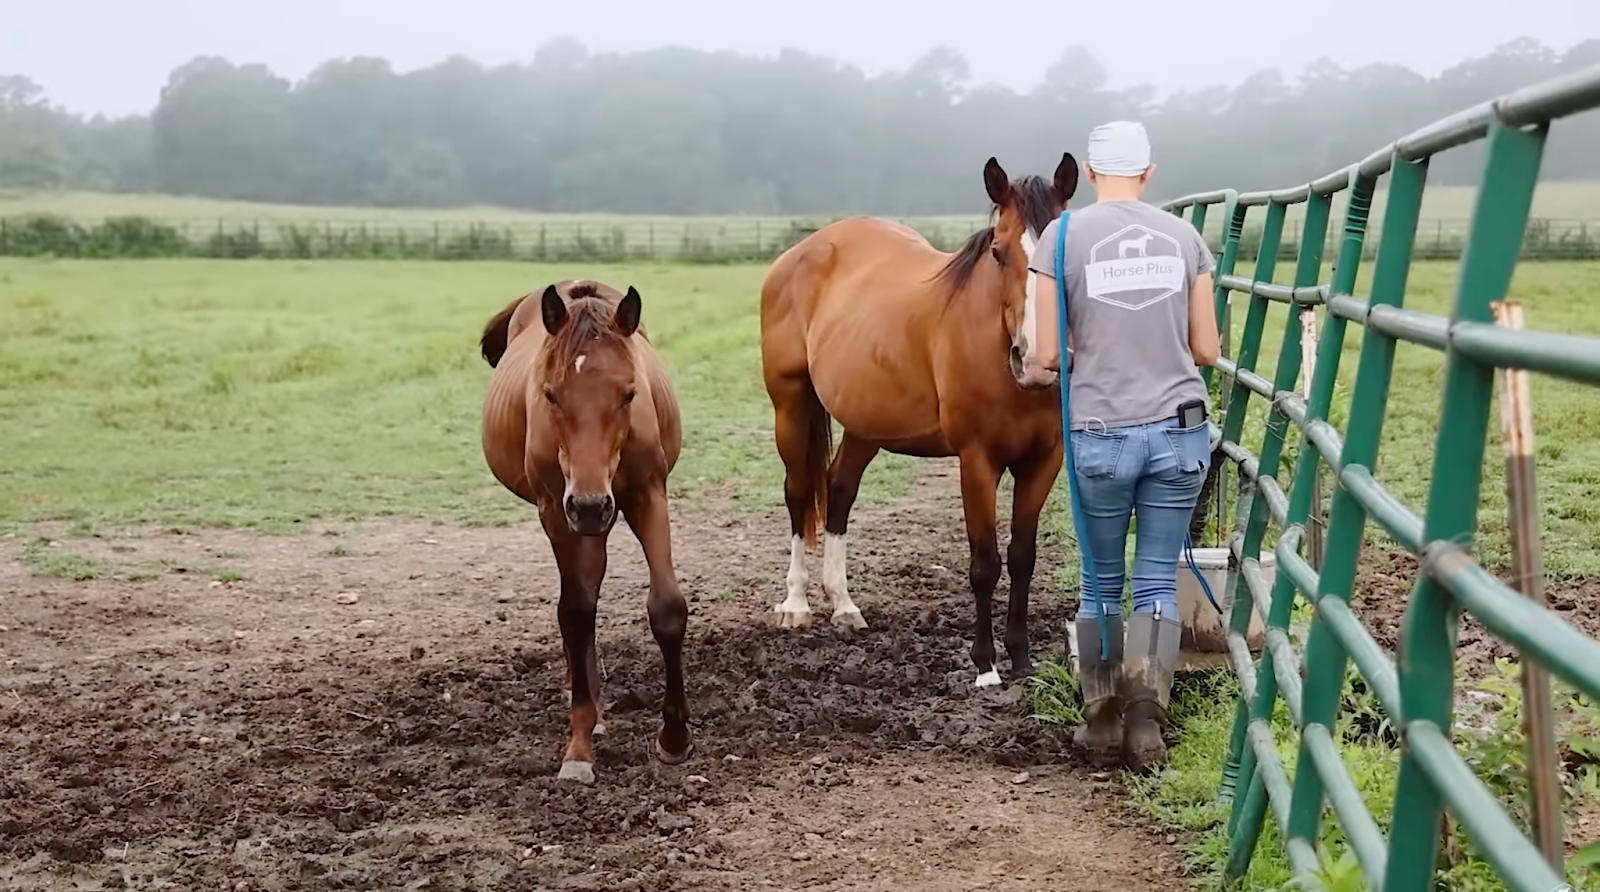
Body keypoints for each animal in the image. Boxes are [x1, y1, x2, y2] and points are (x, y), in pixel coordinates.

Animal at [478, 279, 691, 784]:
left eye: (629, 393)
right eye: (551, 394)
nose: (591, 504)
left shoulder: (647, 495)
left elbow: (667, 608)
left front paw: (674, 738)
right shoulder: (559, 510)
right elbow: (575, 614)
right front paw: (578, 747)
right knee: (581, 603)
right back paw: (591, 715)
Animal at [759, 153, 1079, 688]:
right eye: (998, 252)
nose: (1037, 362)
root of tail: (801, 252)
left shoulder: (1044, 461)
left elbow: (1022, 557)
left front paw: (1021, 658)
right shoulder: (977, 461)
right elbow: (985, 562)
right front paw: (985, 667)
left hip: (865, 422)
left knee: (839, 489)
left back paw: (843, 606)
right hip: (791, 404)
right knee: (800, 493)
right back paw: (796, 604)